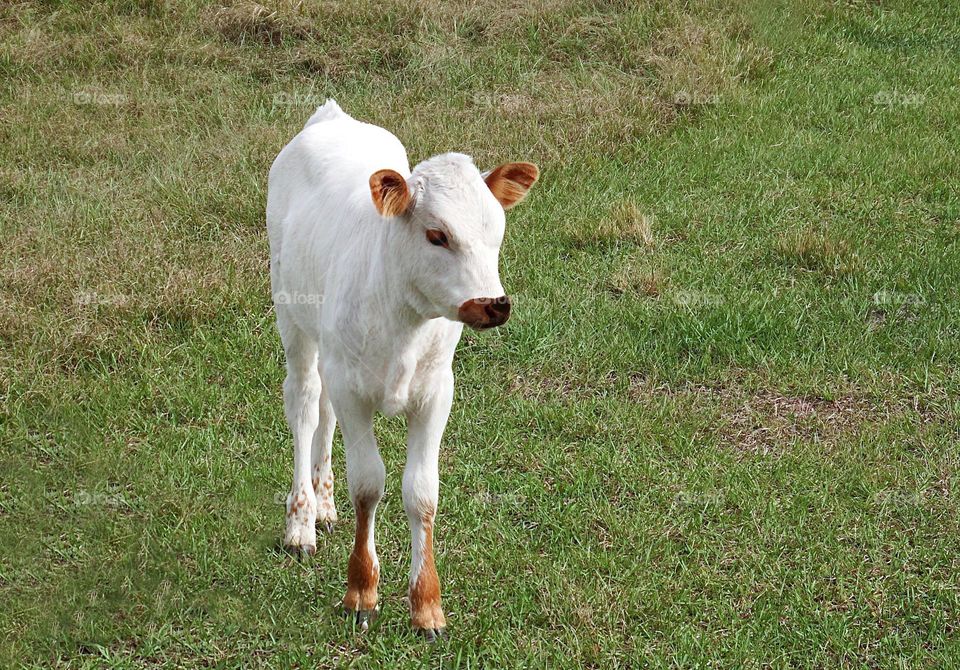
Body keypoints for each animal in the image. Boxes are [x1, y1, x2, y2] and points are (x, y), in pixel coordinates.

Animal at [266, 100, 536, 640]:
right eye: (437, 235)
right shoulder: (354, 390)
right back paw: (301, 521)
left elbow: (422, 492)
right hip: (293, 320)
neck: (403, 322)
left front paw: (427, 605)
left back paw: (324, 505)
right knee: (304, 404)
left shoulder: (436, 392)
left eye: (496, 233)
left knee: (323, 412)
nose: (494, 304)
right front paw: (361, 592)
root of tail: (330, 117)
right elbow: (369, 483)